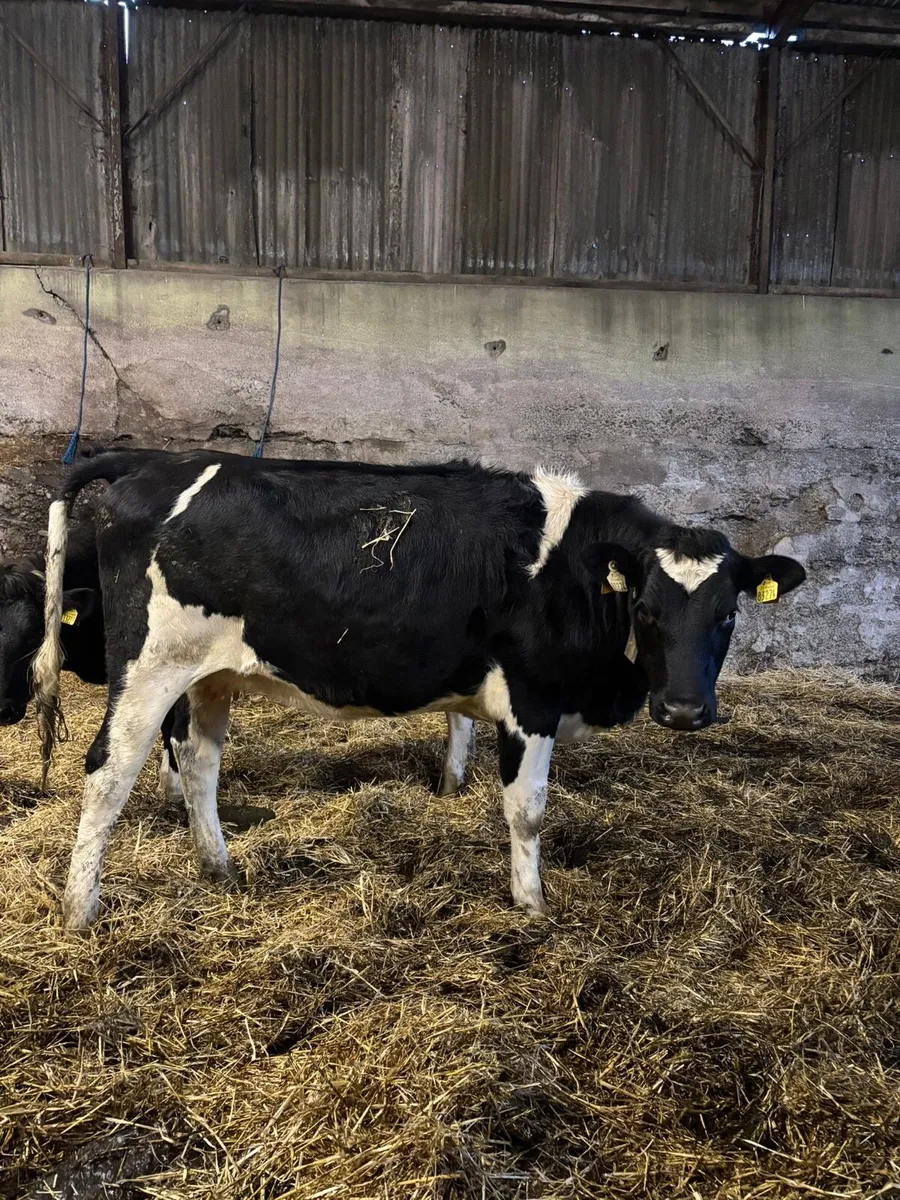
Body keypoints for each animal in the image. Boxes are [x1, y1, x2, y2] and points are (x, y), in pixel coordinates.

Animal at [32, 451, 805, 930]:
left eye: (727, 614)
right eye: (646, 609)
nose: (683, 709)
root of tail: (157, 462)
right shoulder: (530, 702)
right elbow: (527, 812)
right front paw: (532, 905)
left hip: (211, 675)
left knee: (198, 763)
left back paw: (218, 867)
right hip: (149, 666)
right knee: (108, 772)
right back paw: (81, 911)